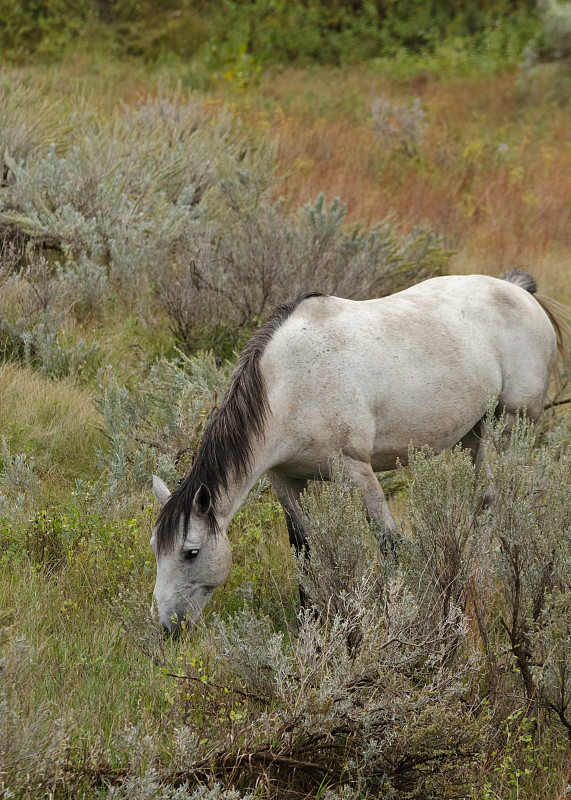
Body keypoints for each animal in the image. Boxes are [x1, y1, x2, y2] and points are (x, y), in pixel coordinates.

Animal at [151, 272, 568, 636]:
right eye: (156, 549)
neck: (290, 387)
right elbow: (303, 551)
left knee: (506, 500)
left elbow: (390, 545)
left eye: (191, 552)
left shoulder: (355, 470)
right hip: (475, 432)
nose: (168, 627)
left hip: (509, 425)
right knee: (483, 500)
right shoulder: (285, 479)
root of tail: (519, 291)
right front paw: (309, 627)